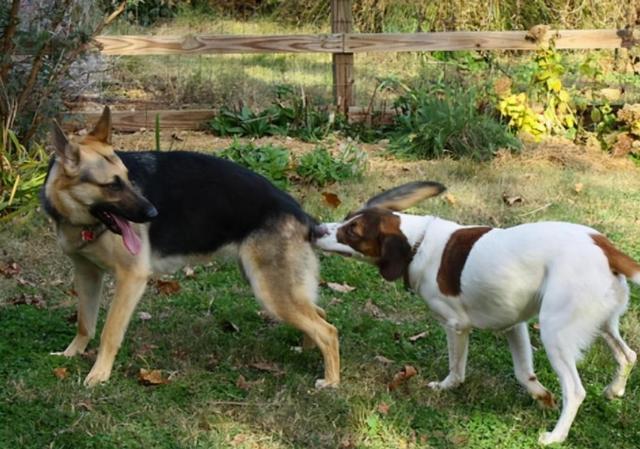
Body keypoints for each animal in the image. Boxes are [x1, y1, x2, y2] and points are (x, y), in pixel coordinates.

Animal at [42, 107, 340, 386]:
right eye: (111, 186)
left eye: (128, 178)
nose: (153, 213)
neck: (82, 219)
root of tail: (301, 213)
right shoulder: (87, 274)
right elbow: (85, 323)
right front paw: (71, 353)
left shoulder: (131, 278)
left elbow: (110, 331)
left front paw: (99, 374)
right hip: (272, 286)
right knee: (320, 314)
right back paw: (305, 351)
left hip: (270, 292)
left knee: (328, 331)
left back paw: (331, 381)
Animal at [316, 181, 640, 444]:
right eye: (346, 218)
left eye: (352, 231)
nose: (317, 229)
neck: (419, 243)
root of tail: (604, 246)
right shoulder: (513, 325)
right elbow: (523, 372)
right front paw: (541, 396)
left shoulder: (456, 325)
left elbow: (457, 369)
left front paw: (445, 387)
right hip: (603, 323)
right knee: (627, 355)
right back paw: (614, 391)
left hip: (555, 332)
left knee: (575, 390)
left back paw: (556, 437)